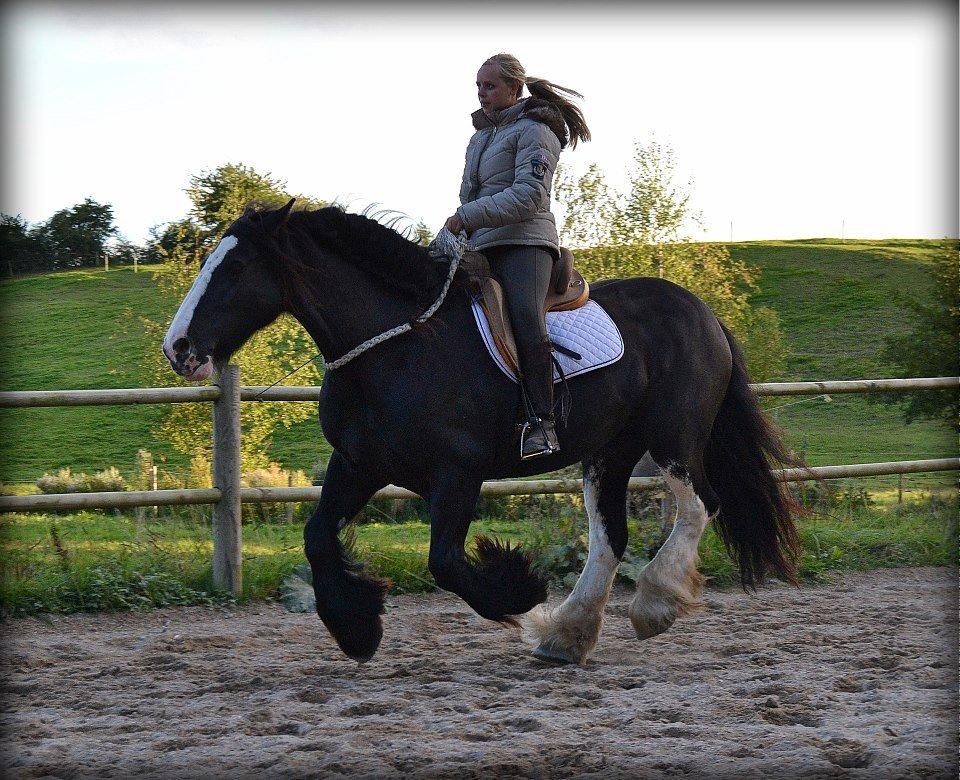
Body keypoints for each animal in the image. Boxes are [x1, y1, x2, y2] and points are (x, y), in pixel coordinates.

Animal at [161, 200, 800, 664]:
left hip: (673, 440)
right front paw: (357, 628)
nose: (179, 348)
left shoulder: (457, 473)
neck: (397, 347)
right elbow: (317, 537)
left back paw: (653, 605)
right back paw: (566, 637)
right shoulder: (359, 464)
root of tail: (702, 310)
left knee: (698, 507)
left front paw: (521, 592)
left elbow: (445, 561)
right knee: (610, 536)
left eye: (235, 268)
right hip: (608, 453)